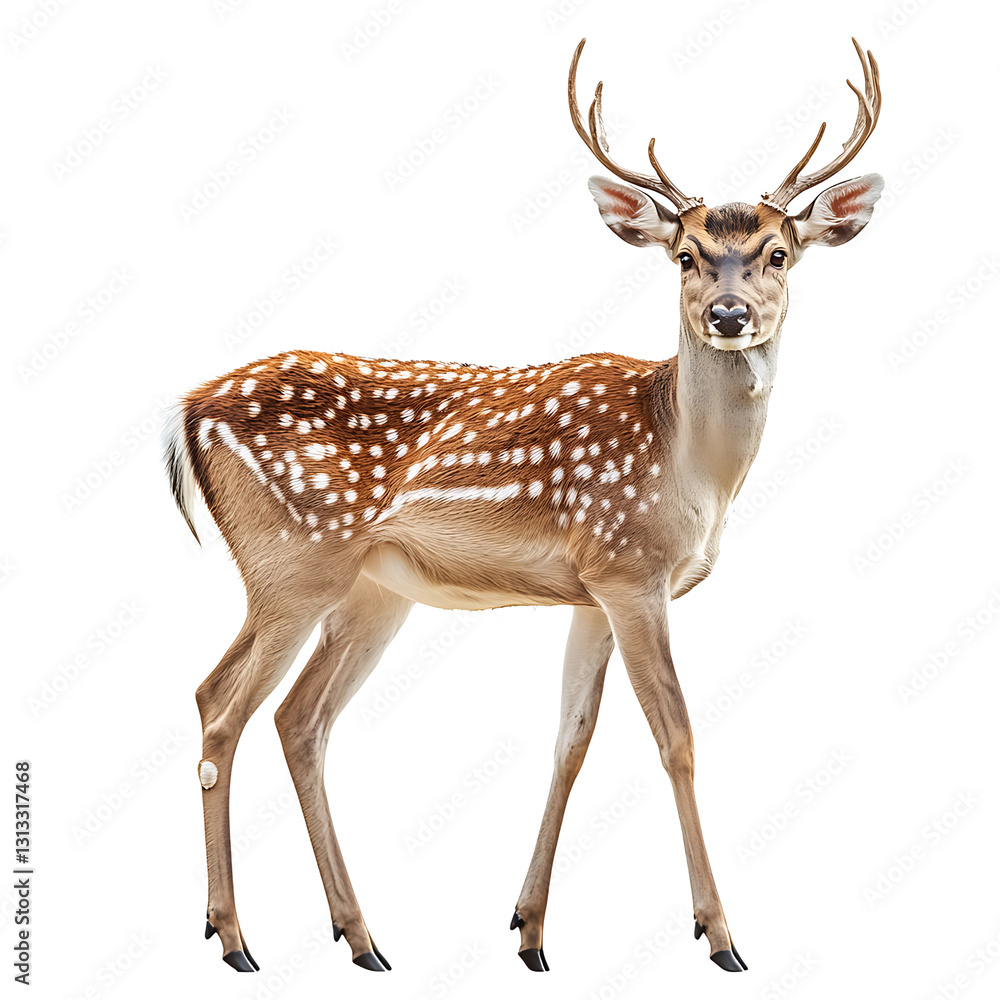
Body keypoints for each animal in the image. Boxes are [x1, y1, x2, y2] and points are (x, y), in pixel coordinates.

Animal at [163, 36, 882, 977]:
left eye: (778, 253)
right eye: (684, 255)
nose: (729, 314)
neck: (690, 465)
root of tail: (189, 410)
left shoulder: (591, 590)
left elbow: (572, 740)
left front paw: (530, 931)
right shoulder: (630, 566)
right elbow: (677, 735)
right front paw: (721, 936)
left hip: (370, 589)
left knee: (296, 718)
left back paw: (361, 938)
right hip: (293, 560)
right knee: (221, 707)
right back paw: (235, 938)